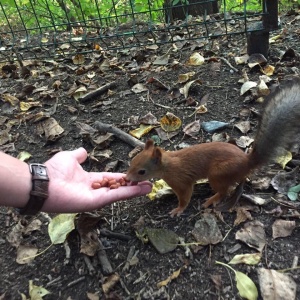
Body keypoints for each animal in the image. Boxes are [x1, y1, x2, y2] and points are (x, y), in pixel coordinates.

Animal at [125, 76, 300, 217]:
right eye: (131, 163)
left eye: (142, 172)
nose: (126, 179)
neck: (168, 165)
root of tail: (246, 162)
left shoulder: (182, 182)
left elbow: (185, 196)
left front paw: (179, 209)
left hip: (218, 174)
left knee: (224, 191)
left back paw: (212, 199)